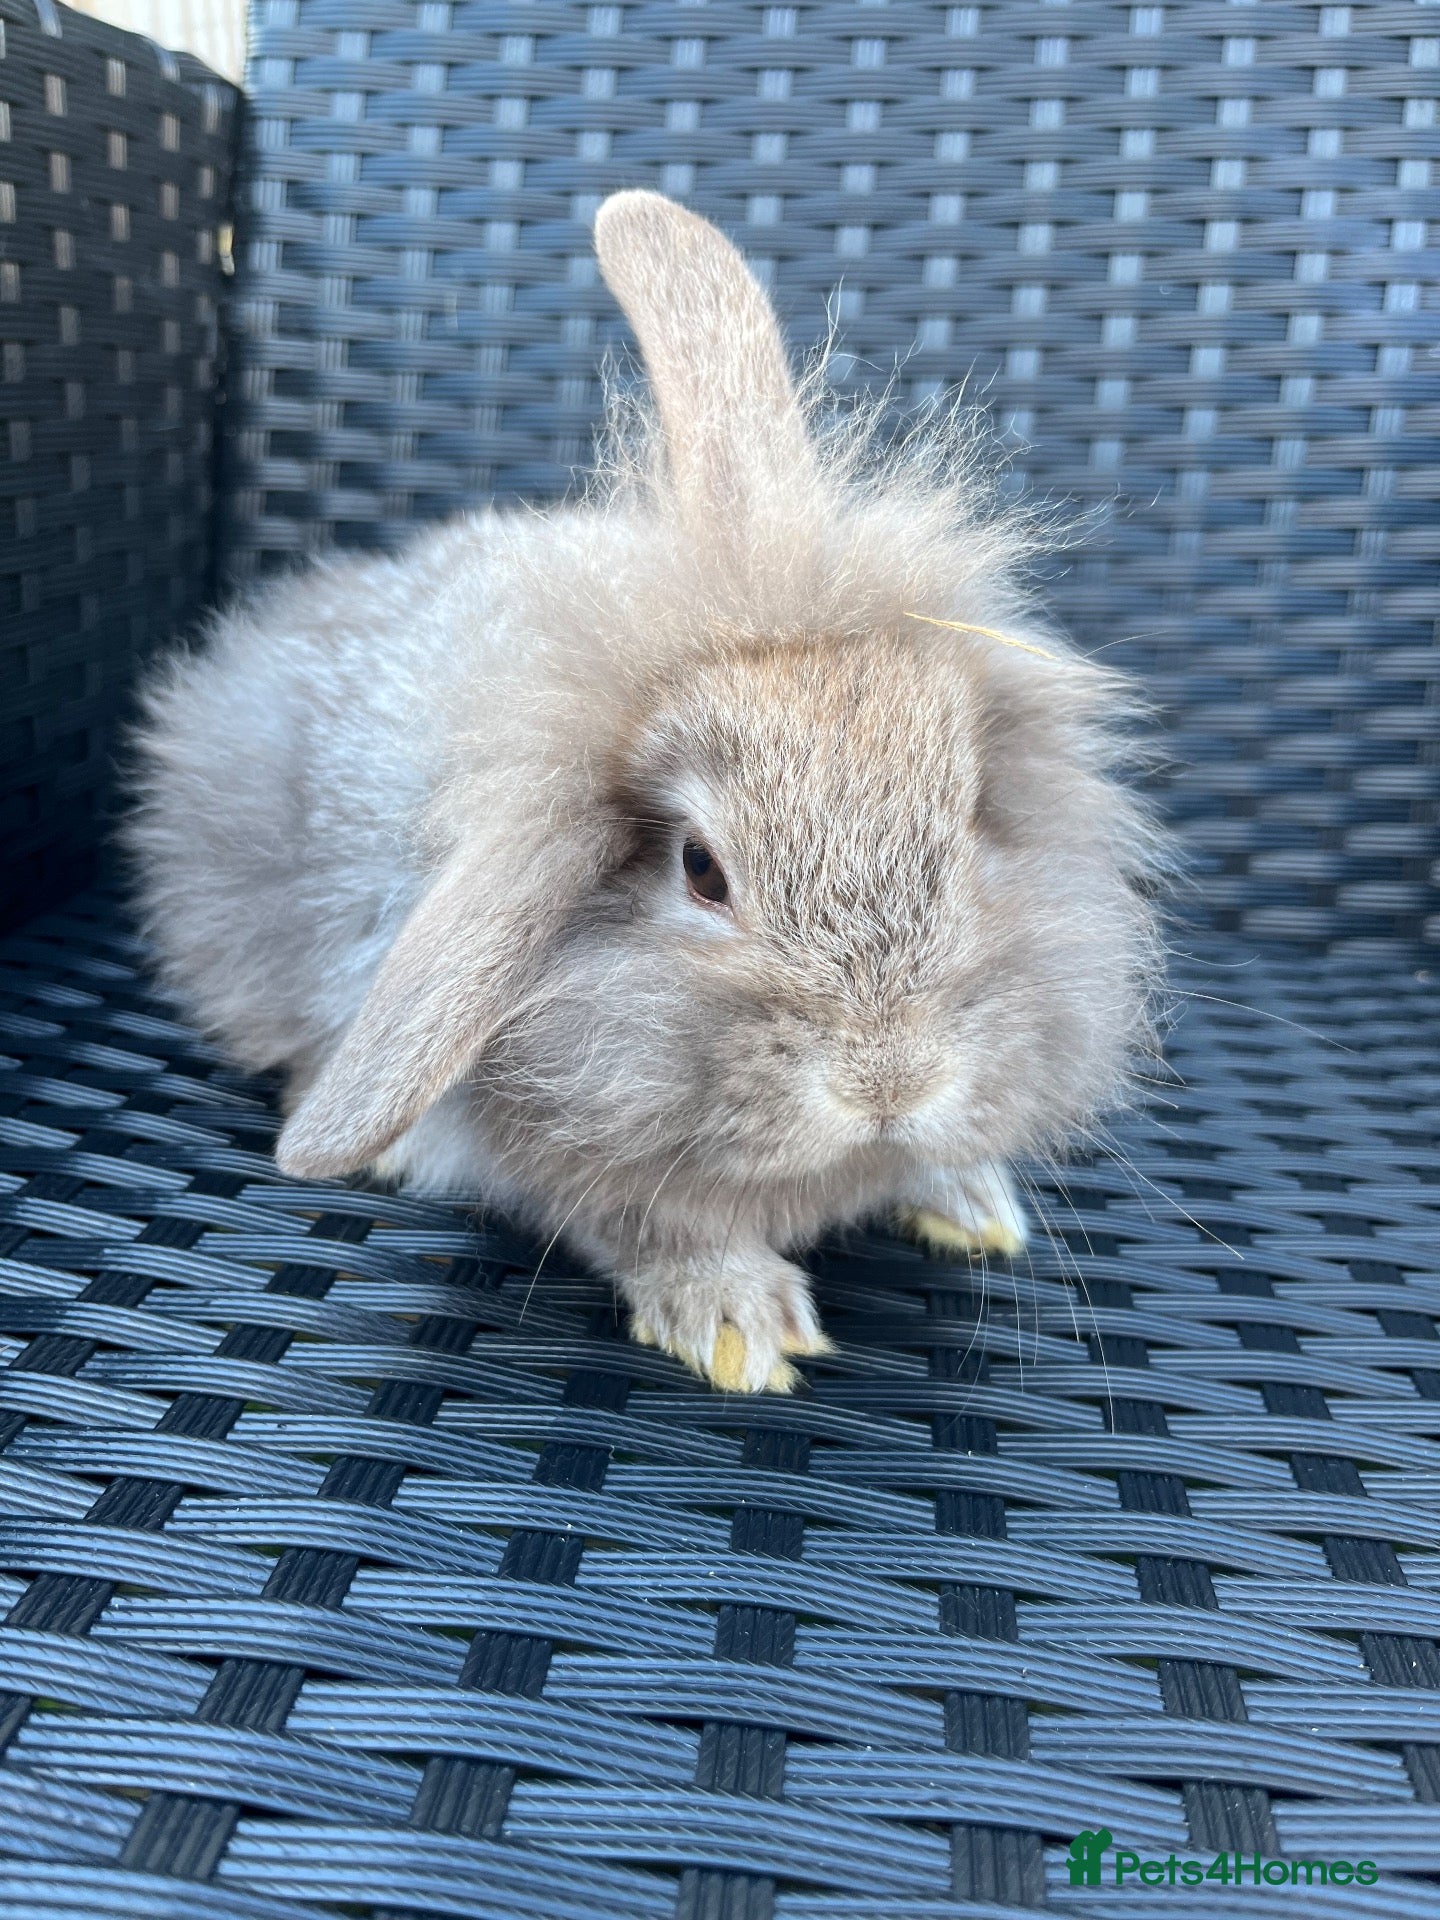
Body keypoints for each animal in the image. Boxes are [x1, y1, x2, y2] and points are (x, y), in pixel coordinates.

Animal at [127, 190, 1161, 1394]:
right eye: (701, 869)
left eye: (970, 813)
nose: (889, 1082)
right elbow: (642, 1220)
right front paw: (741, 1327)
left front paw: (969, 1201)